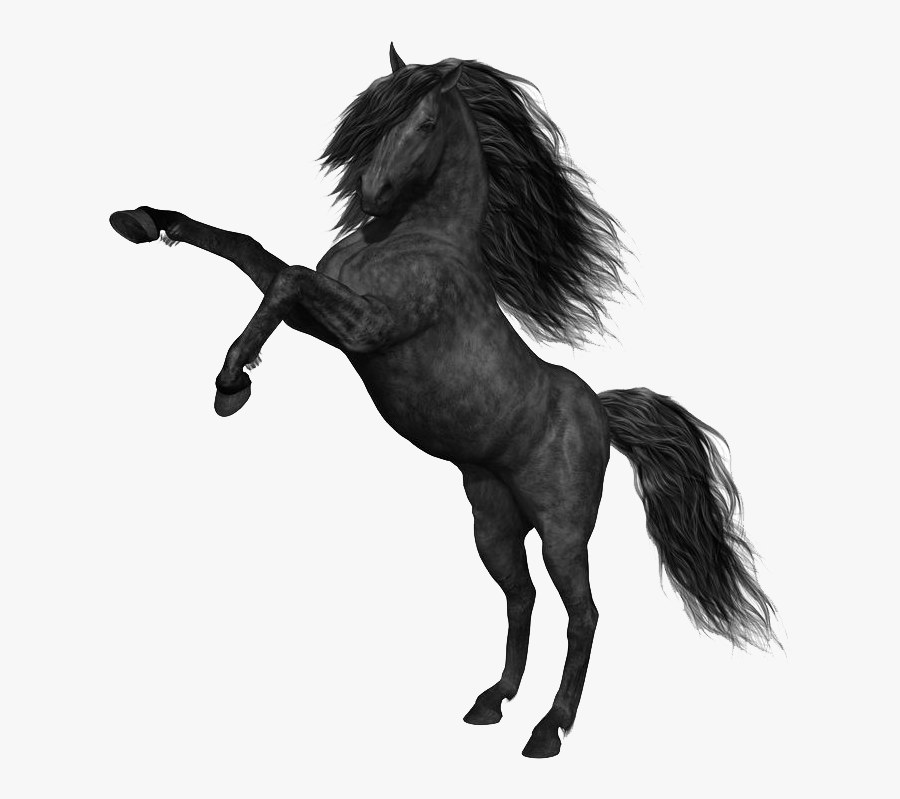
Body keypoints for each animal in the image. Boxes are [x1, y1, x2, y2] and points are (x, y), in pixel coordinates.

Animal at [109, 44, 778, 758]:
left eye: (426, 123)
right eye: (374, 120)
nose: (370, 194)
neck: (418, 238)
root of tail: (600, 410)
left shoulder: (368, 328)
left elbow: (287, 276)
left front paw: (231, 384)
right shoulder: (332, 326)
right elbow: (252, 253)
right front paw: (142, 222)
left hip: (563, 528)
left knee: (584, 613)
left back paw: (548, 729)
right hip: (494, 521)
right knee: (521, 598)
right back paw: (493, 702)